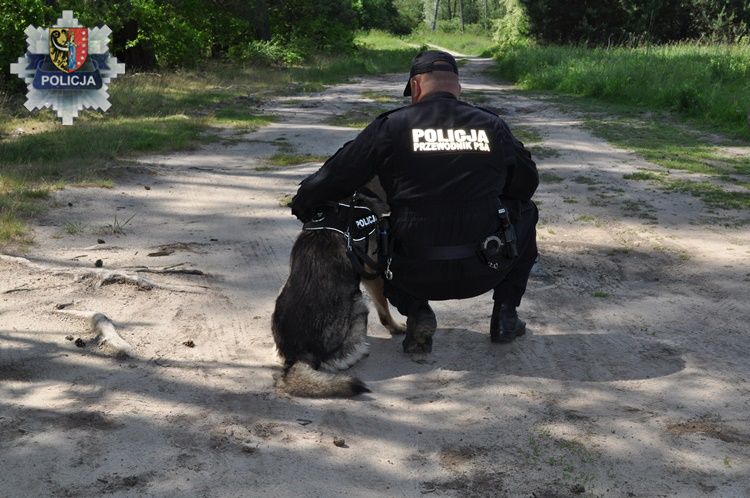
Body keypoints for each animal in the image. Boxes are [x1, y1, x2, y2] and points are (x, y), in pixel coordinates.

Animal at [274, 185, 406, 398]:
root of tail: (298, 356)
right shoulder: (373, 273)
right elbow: (384, 308)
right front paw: (396, 327)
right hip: (360, 304)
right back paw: (362, 349)